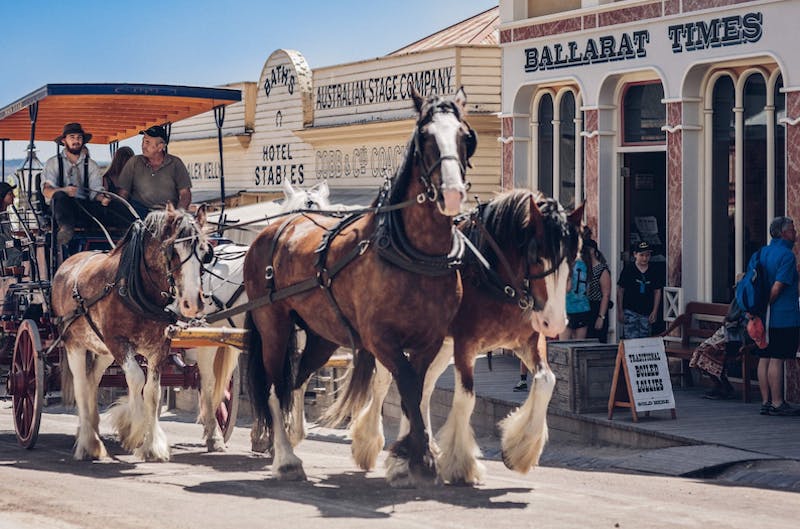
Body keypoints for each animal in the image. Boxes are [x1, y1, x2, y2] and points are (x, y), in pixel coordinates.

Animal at [54, 204, 209, 460]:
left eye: (205, 252)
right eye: (172, 251)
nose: (192, 303)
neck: (136, 288)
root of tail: (68, 263)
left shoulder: (159, 347)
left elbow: (153, 392)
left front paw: (153, 445)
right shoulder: (118, 342)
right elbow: (137, 379)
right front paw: (134, 431)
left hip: (102, 349)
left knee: (91, 380)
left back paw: (91, 430)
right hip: (75, 344)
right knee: (80, 385)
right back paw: (88, 442)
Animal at [192, 178, 330, 450]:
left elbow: (298, 381)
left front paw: (284, 433)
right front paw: (276, 434)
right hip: (204, 336)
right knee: (208, 382)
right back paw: (214, 435)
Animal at [244, 87, 476, 486]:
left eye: (465, 136)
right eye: (425, 137)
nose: (452, 194)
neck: (412, 252)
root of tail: (275, 227)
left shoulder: (430, 339)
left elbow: (417, 391)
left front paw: (410, 454)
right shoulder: (381, 338)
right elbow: (409, 387)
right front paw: (416, 458)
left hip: (321, 335)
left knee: (296, 382)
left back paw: (292, 436)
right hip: (272, 325)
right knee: (276, 387)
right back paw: (286, 458)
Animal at [324, 190, 580, 482]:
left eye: (573, 258)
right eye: (537, 256)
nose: (555, 322)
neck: (492, 275)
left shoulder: (528, 341)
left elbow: (547, 380)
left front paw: (520, 450)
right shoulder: (466, 344)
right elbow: (465, 398)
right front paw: (460, 463)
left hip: (439, 345)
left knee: (422, 389)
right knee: (385, 385)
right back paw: (370, 444)